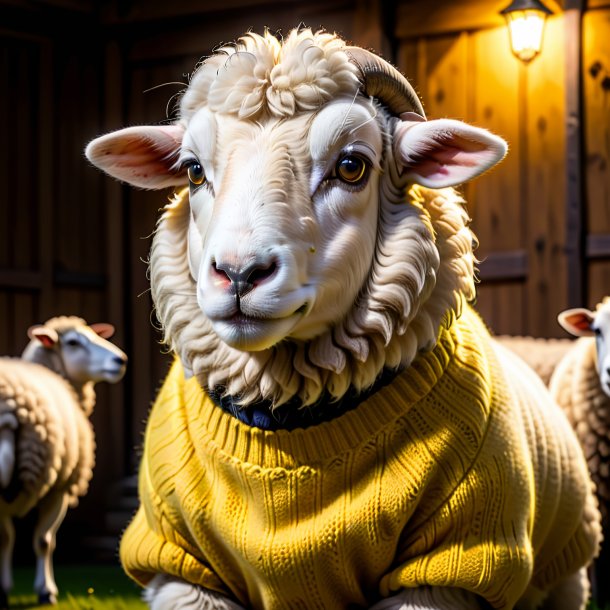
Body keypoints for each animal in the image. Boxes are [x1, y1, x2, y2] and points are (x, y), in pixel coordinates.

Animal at [0, 316, 126, 604]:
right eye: (73, 342)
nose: (121, 360)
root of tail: (8, 408)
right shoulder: (60, 488)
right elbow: (44, 541)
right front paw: (46, 591)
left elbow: (9, 539)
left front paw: (6, 587)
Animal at [84, 27, 600, 608]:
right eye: (193, 171)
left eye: (352, 166)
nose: (239, 273)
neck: (289, 422)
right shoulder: (182, 570)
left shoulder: (446, 570)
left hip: (566, 577)